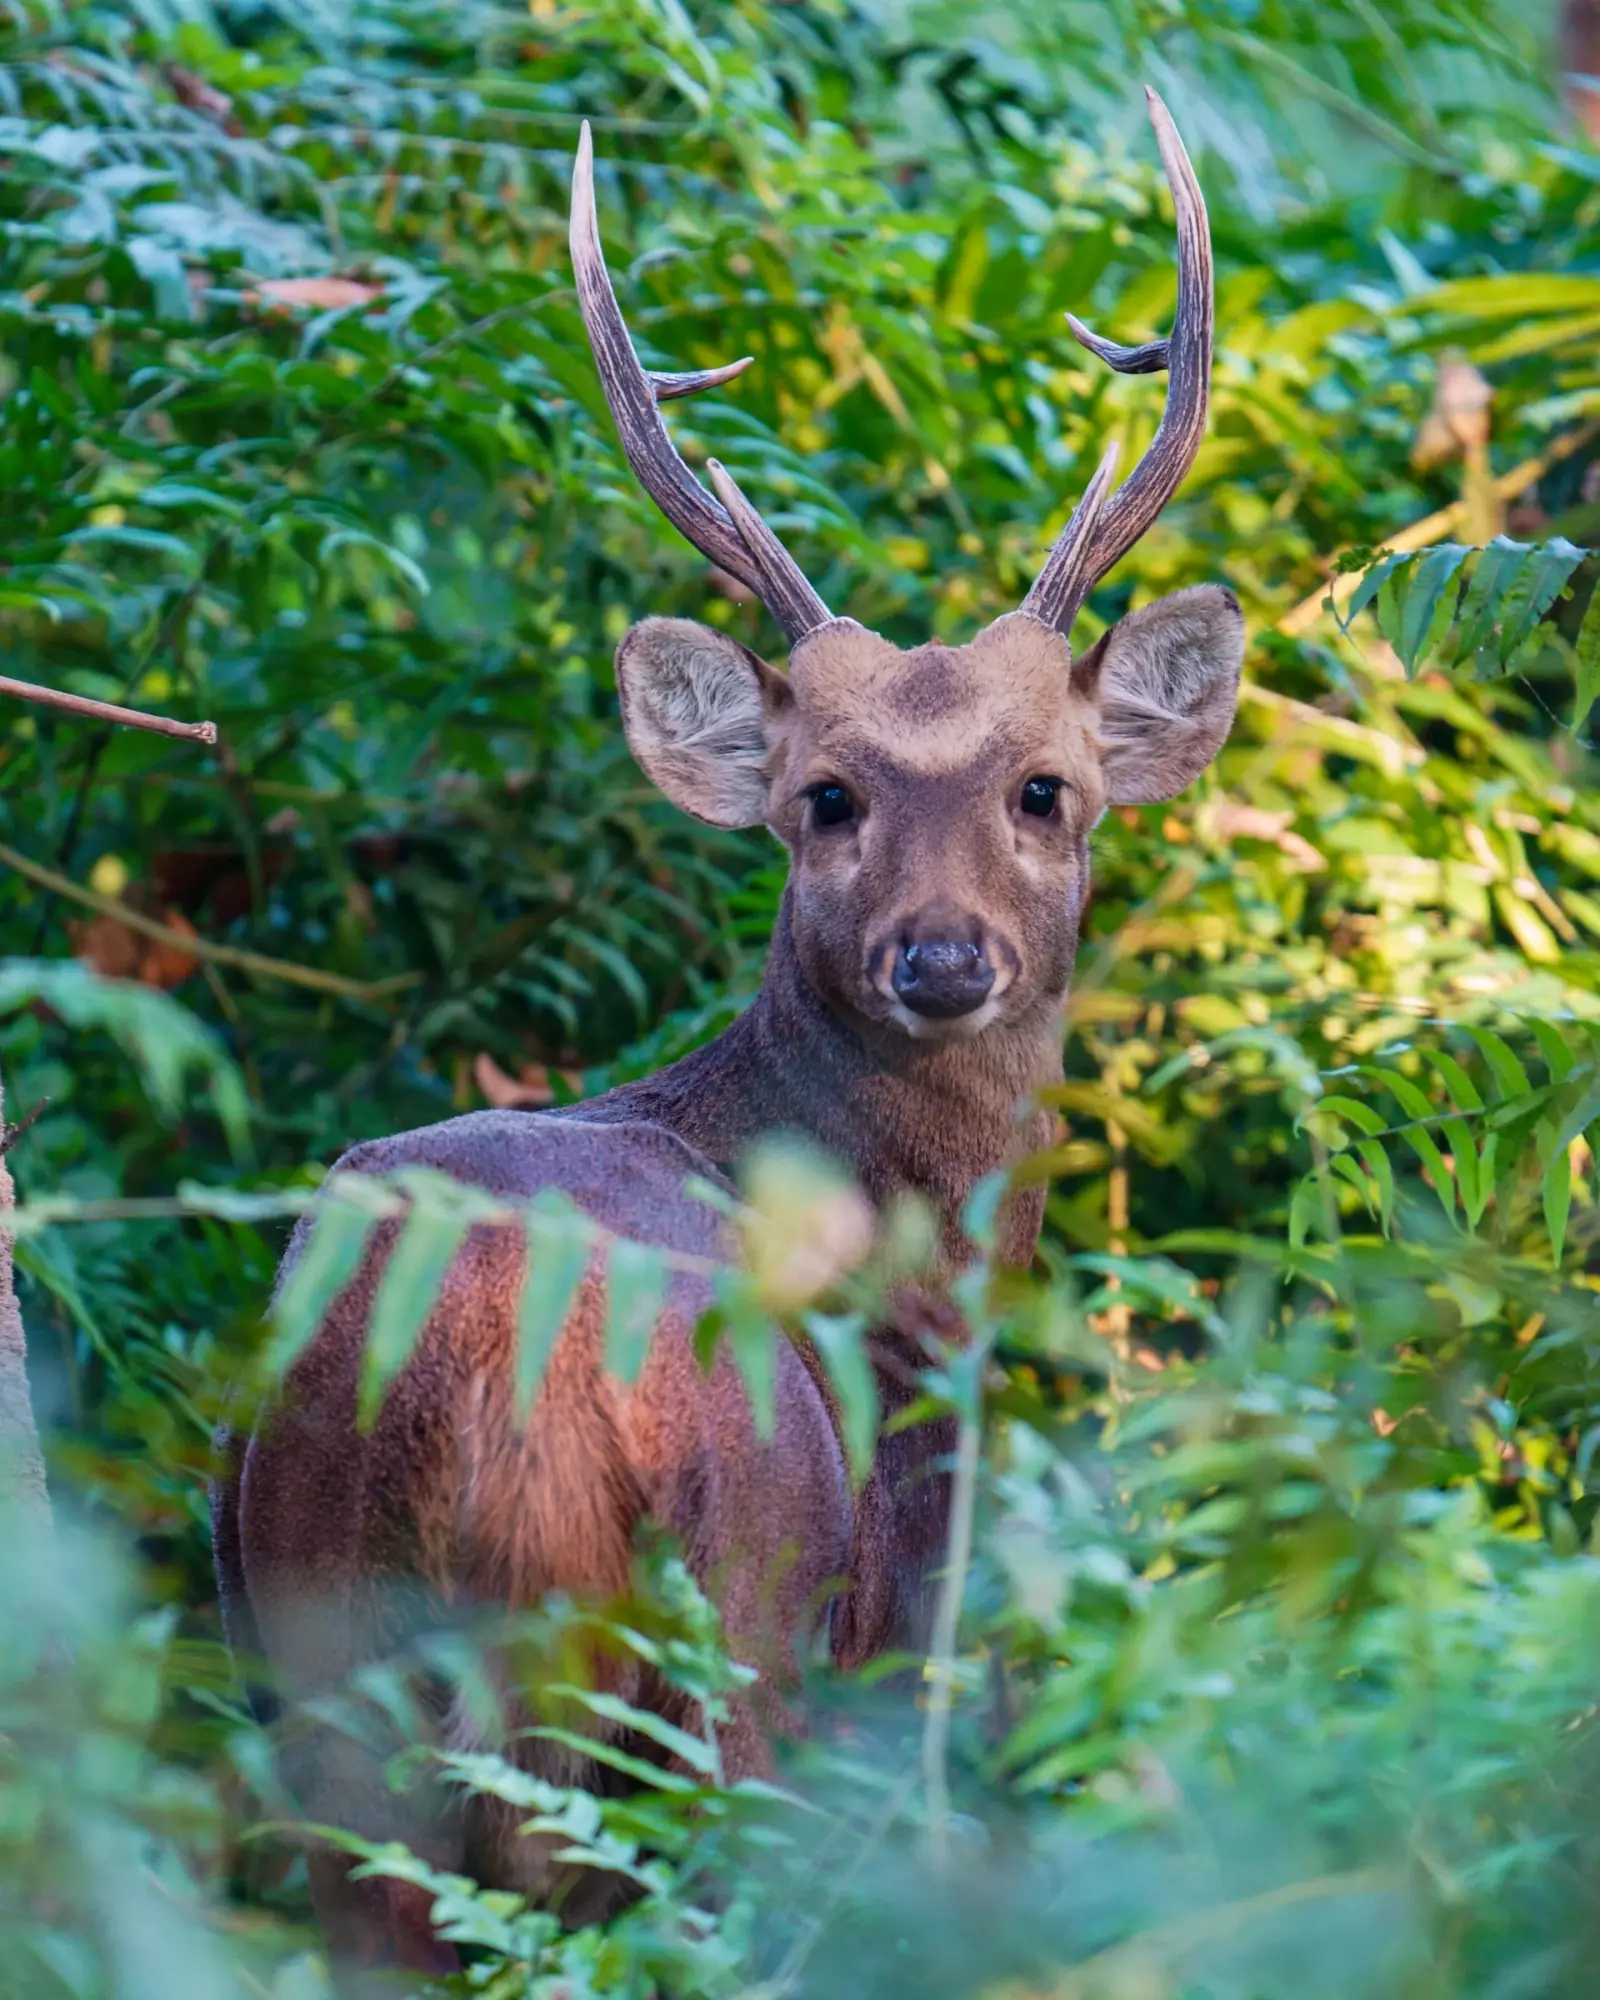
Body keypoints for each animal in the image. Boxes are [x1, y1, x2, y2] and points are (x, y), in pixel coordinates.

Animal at [212, 87, 1243, 1979]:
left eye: (1044, 788)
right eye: (823, 797)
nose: (939, 958)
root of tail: (500, 1356)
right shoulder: (891, 1628)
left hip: (314, 1658)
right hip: (735, 1644)